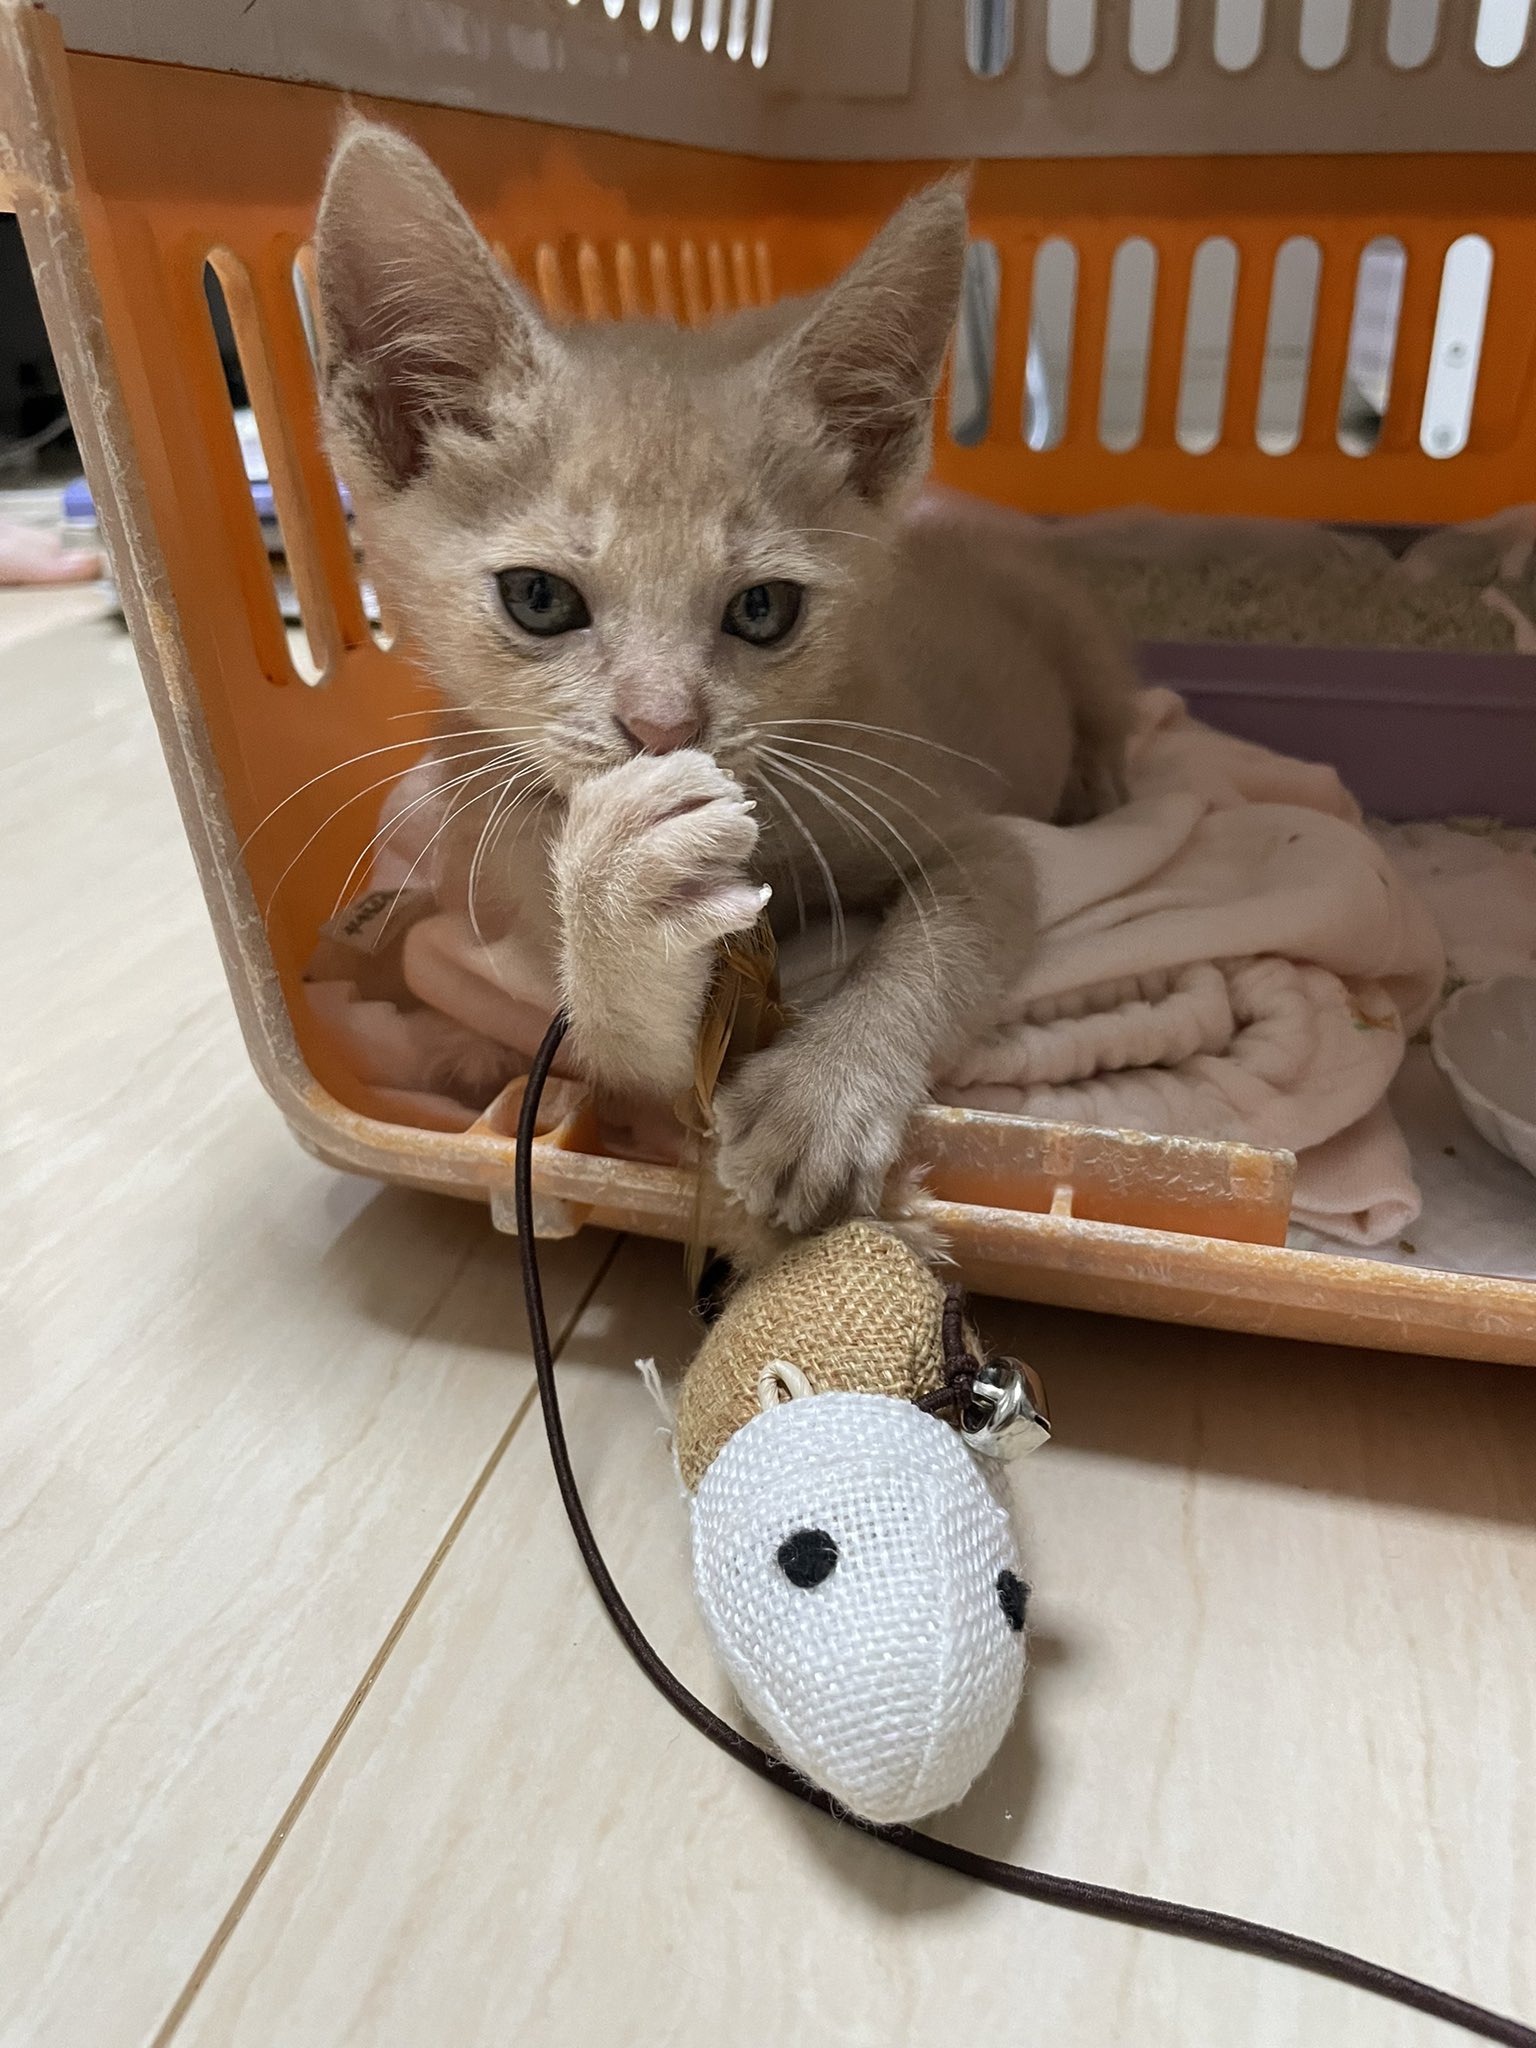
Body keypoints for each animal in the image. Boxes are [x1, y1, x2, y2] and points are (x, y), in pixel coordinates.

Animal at [313, 121, 1134, 1238]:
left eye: (762, 609)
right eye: (538, 597)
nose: (664, 726)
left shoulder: (976, 839)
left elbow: (942, 937)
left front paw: (824, 1092)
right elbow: (636, 1060)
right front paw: (619, 895)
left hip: (1076, 622)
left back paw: (1103, 778)